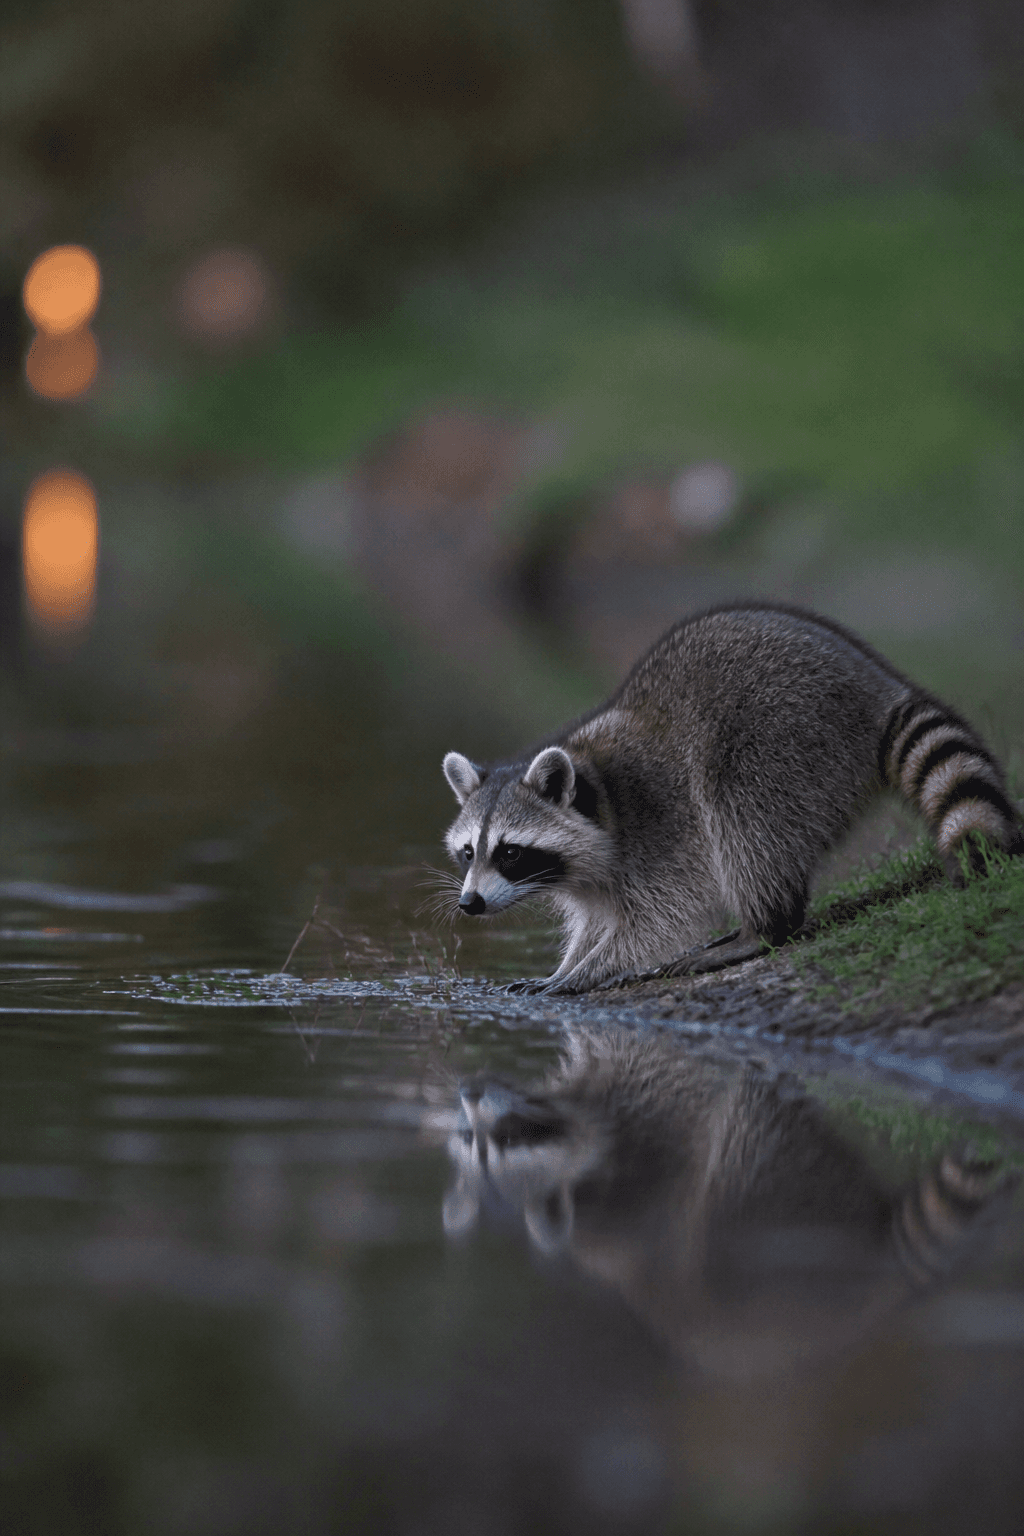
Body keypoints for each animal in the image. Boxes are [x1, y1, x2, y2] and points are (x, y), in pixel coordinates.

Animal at [442, 603, 1023, 992]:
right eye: (469, 853)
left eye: (510, 852)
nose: (470, 904)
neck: (599, 793)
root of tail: (877, 690)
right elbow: (595, 920)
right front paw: (569, 962)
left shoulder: (658, 826)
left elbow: (658, 918)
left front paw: (587, 971)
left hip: (784, 736)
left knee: (744, 817)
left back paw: (762, 929)